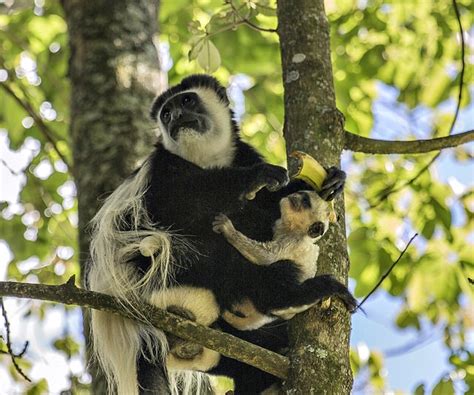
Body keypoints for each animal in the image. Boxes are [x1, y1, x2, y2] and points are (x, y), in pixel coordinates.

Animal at [213, 189, 354, 332]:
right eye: (300, 193)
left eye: (305, 201)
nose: (294, 195)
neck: (293, 229)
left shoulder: (292, 241)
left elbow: (267, 256)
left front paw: (228, 229)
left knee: (285, 279)